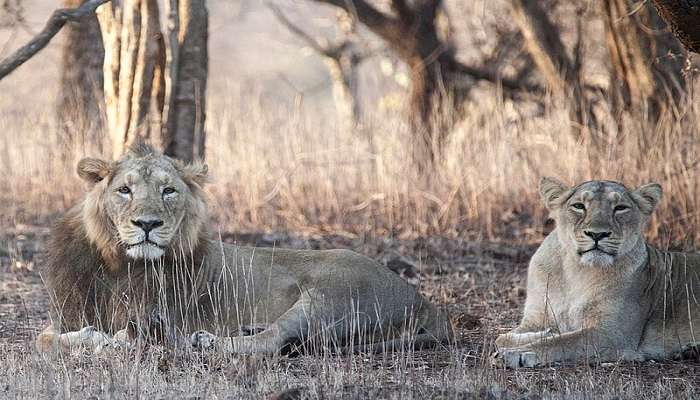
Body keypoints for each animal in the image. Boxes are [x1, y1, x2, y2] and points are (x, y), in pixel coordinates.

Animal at [35, 144, 452, 354]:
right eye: (125, 190)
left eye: (169, 190)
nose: (148, 225)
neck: (121, 265)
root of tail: (423, 300)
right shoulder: (64, 315)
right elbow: (46, 340)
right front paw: (96, 338)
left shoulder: (163, 315)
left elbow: (128, 333)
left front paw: (119, 339)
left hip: (328, 295)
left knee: (271, 342)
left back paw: (205, 342)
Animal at [492, 178, 700, 368]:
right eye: (579, 206)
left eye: (620, 208)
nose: (597, 234)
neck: (576, 271)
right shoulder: (537, 316)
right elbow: (500, 338)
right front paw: (544, 333)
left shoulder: (614, 334)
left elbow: (566, 341)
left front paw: (521, 352)